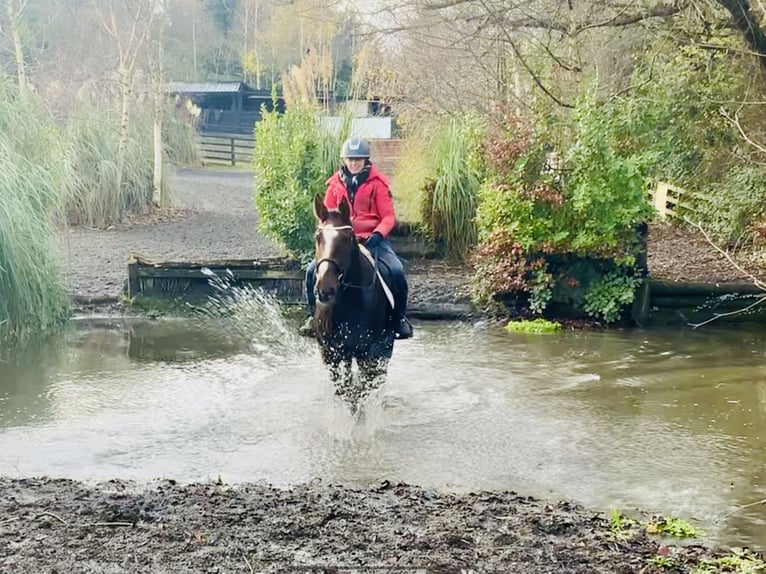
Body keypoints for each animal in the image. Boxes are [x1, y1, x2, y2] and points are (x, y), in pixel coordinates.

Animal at [310, 194, 396, 404]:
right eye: (318, 237)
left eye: (346, 239)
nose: (325, 289)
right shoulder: (331, 353)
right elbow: (344, 390)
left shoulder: (366, 353)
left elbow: (359, 392)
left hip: (385, 348)